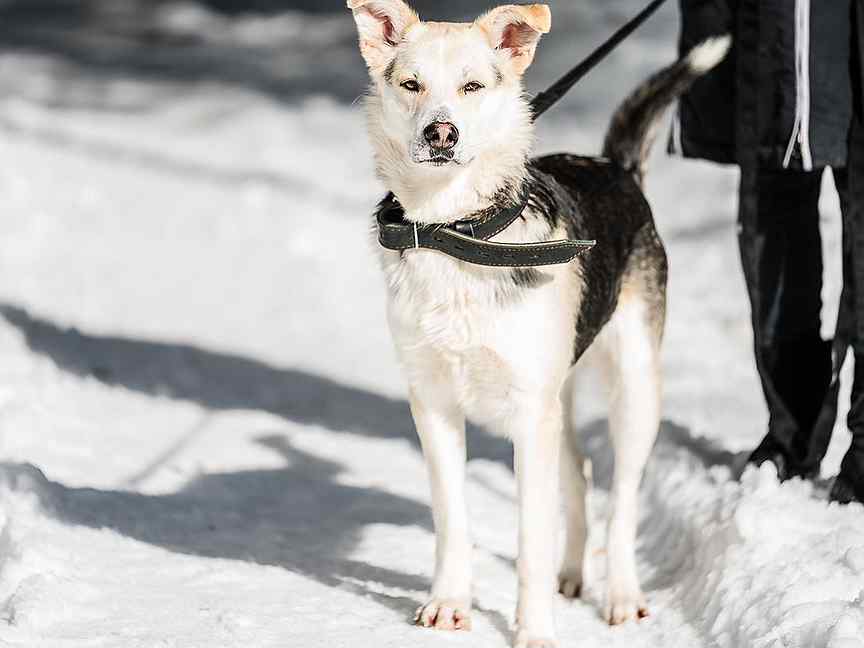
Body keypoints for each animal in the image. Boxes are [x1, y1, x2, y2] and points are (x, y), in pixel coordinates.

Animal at [346, 2, 728, 644]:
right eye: (412, 85)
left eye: (473, 86)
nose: (441, 134)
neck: (459, 233)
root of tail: (616, 167)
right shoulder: (434, 404)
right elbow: (452, 518)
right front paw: (450, 602)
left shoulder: (529, 414)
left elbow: (531, 537)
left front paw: (534, 630)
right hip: (562, 395)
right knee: (579, 474)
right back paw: (572, 573)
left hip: (634, 389)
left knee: (621, 500)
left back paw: (620, 593)